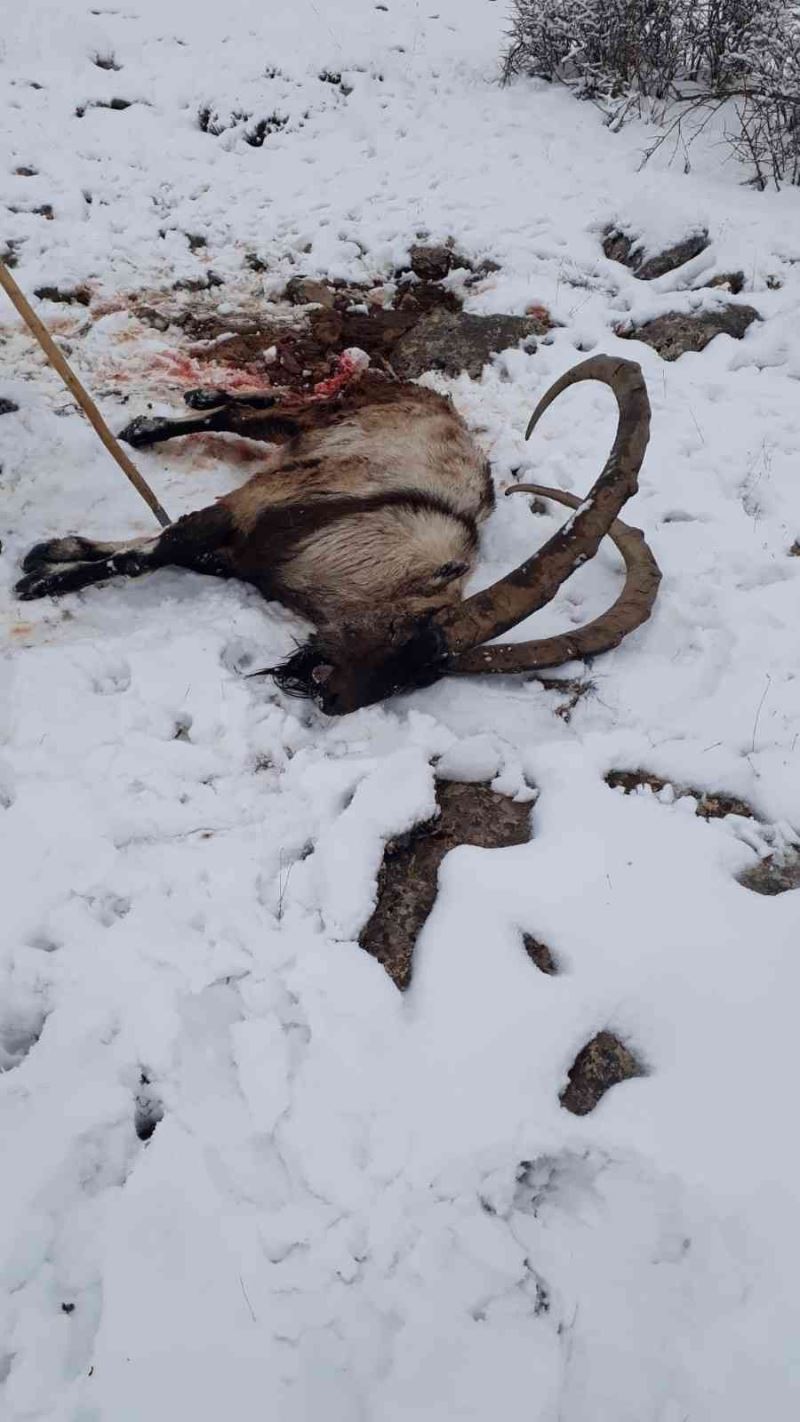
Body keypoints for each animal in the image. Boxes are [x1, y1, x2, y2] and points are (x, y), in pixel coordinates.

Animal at [15, 353, 661, 716]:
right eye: (406, 635)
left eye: (423, 677)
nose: (334, 702)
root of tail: (415, 389)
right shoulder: (250, 505)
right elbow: (155, 549)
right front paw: (40, 572)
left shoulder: (236, 557)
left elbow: (161, 549)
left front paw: (51, 559)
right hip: (314, 421)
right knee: (246, 415)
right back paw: (153, 424)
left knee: (251, 411)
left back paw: (185, 403)